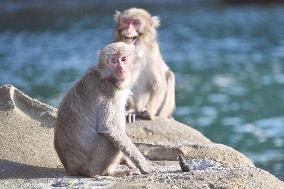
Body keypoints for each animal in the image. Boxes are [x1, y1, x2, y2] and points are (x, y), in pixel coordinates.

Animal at [54, 42, 154, 176]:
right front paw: (143, 164)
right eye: (114, 61)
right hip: (94, 164)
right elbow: (109, 127)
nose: (121, 69)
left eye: (123, 59)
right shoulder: (110, 95)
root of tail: (71, 169)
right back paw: (111, 172)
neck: (109, 79)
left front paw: (128, 161)